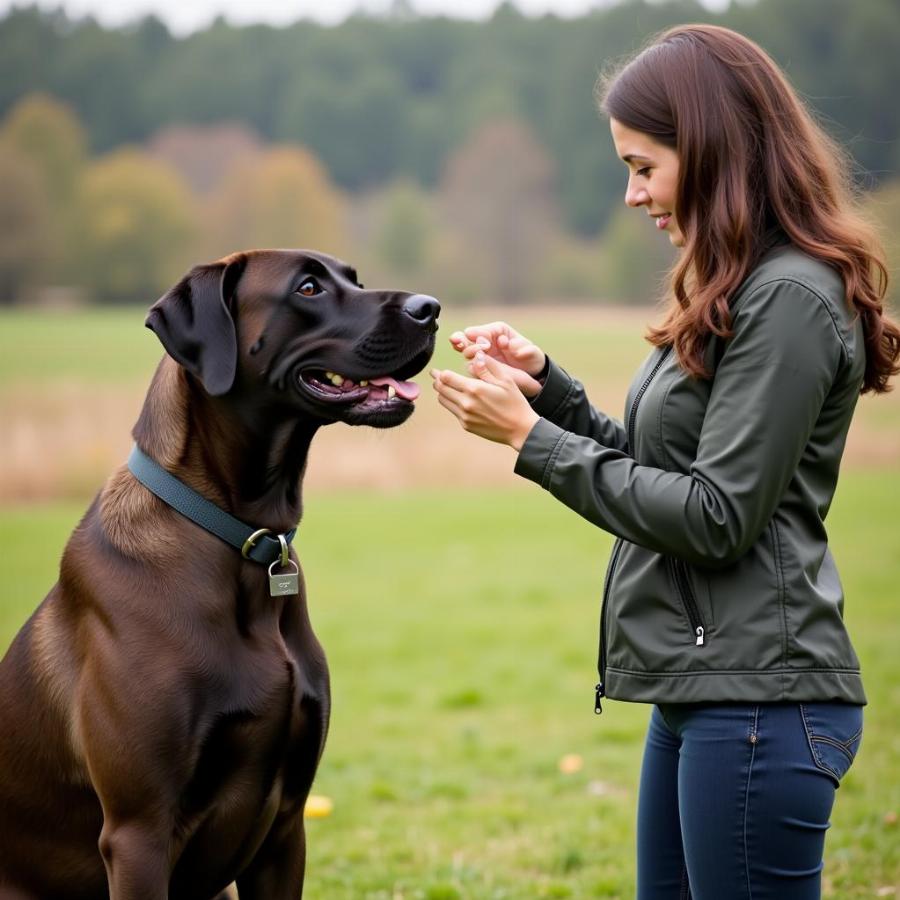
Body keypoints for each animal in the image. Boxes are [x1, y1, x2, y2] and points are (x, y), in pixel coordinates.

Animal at [0, 250, 440, 896]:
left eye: (354, 279)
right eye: (308, 287)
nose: (430, 308)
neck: (245, 539)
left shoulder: (286, 827)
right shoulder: (138, 832)